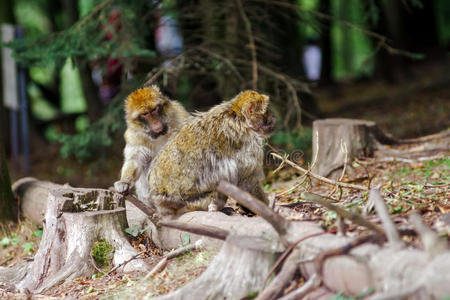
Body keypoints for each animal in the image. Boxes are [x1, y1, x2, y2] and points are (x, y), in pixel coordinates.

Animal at [148, 89, 276, 216]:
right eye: (266, 111)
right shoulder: (250, 143)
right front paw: (268, 208)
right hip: (192, 202)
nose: (273, 115)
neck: (240, 118)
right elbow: (248, 183)